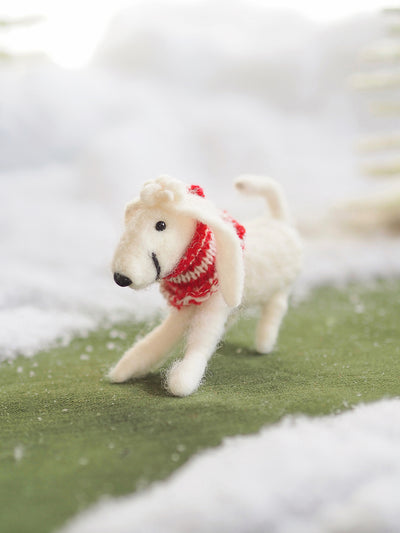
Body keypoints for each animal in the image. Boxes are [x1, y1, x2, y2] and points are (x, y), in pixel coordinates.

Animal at [108, 175, 302, 394]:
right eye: (132, 220)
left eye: (161, 224)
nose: (121, 278)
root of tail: (279, 220)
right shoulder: (185, 310)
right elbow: (157, 340)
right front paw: (127, 367)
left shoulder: (213, 308)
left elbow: (200, 342)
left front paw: (183, 378)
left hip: (281, 290)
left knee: (275, 310)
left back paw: (264, 343)